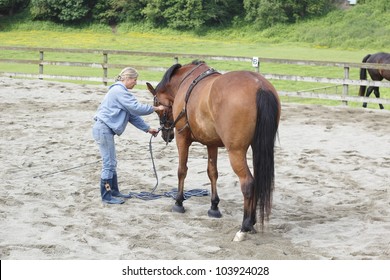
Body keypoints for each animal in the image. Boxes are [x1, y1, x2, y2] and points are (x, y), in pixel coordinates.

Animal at [146, 61, 280, 241]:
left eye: (157, 108)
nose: (166, 134)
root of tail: (259, 86)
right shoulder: (211, 144)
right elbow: (212, 173)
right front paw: (214, 207)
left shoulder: (182, 138)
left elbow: (182, 170)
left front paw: (178, 202)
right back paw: (251, 222)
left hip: (236, 151)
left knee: (248, 183)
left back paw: (244, 226)